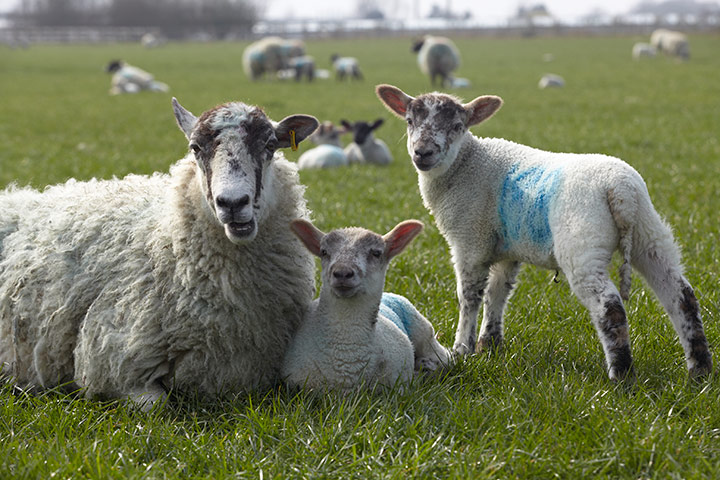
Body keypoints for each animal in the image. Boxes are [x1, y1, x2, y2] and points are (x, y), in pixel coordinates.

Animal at [282, 219, 451, 390]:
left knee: (446, 358)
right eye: (323, 252)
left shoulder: (398, 384)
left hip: (424, 332)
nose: (342, 273)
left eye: (376, 253)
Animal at [376, 84, 713, 380]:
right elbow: (497, 293)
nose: (423, 152)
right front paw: (490, 345)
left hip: (583, 243)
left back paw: (621, 375)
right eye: (409, 121)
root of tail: (620, 190)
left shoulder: (470, 241)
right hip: (650, 234)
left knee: (610, 307)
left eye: (458, 125)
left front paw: (462, 348)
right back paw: (699, 371)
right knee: (682, 296)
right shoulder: (506, 247)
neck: (467, 165)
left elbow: (469, 297)